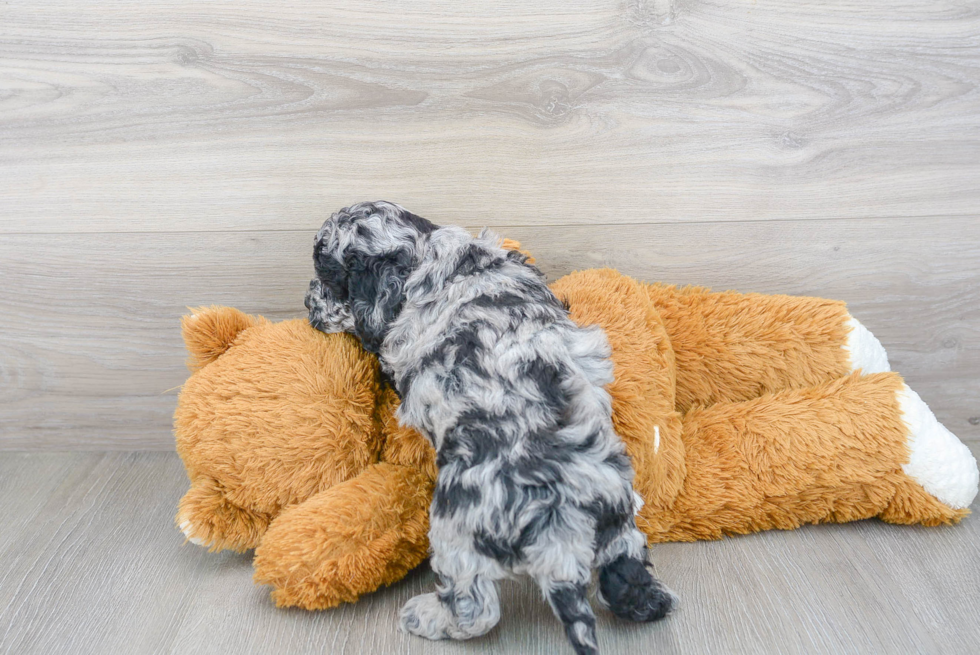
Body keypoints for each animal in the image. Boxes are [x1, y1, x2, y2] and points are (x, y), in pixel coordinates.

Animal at [304, 202, 672, 652]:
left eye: (327, 276)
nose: (306, 303)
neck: (427, 256)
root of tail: (559, 529)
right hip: (617, 514)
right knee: (627, 574)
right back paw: (649, 600)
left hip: (455, 532)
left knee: (475, 608)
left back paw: (424, 615)